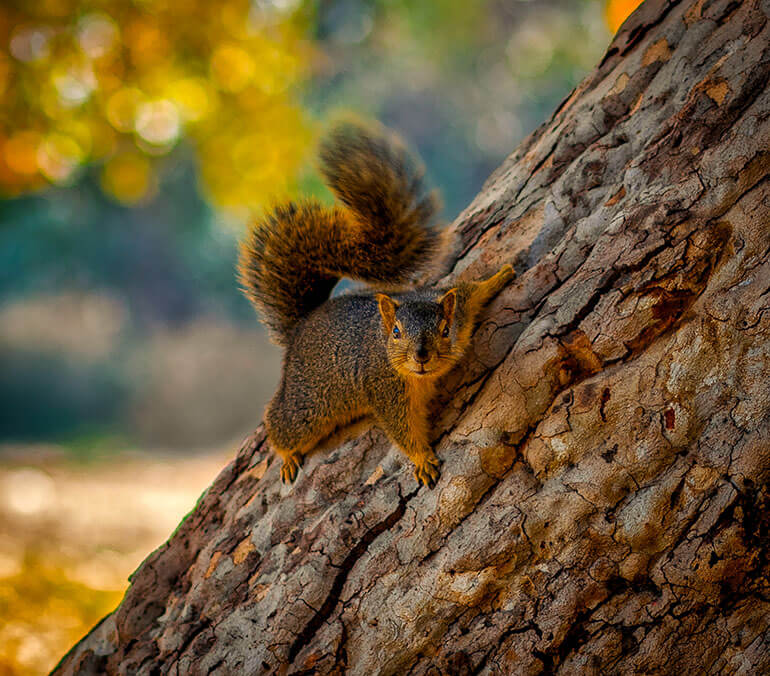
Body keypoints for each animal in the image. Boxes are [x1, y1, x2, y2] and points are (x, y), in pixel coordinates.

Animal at [238, 121, 516, 488]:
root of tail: (303, 323)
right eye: (396, 332)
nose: (421, 356)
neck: (419, 378)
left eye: (444, 330)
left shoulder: (456, 309)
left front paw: (498, 277)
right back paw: (286, 456)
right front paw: (422, 459)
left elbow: (470, 292)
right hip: (307, 403)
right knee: (280, 423)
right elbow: (402, 431)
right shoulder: (386, 390)